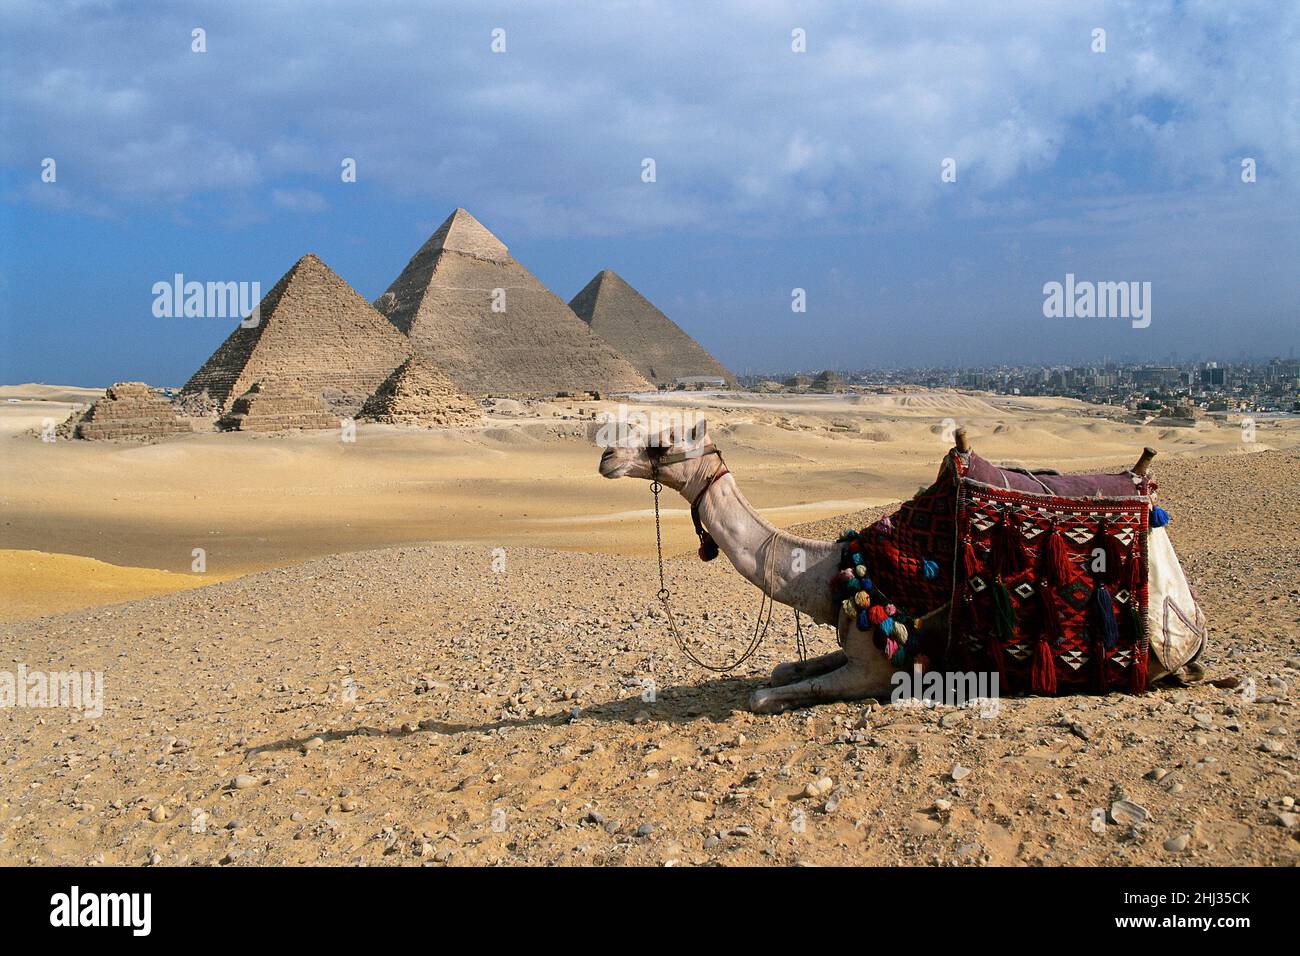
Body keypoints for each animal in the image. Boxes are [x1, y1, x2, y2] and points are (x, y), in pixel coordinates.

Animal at [595, 416, 1201, 712]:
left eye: (660, 445)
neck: (827, 575)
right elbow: (783, 670)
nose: (606, 454)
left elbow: (765, 693)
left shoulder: (876, 669)